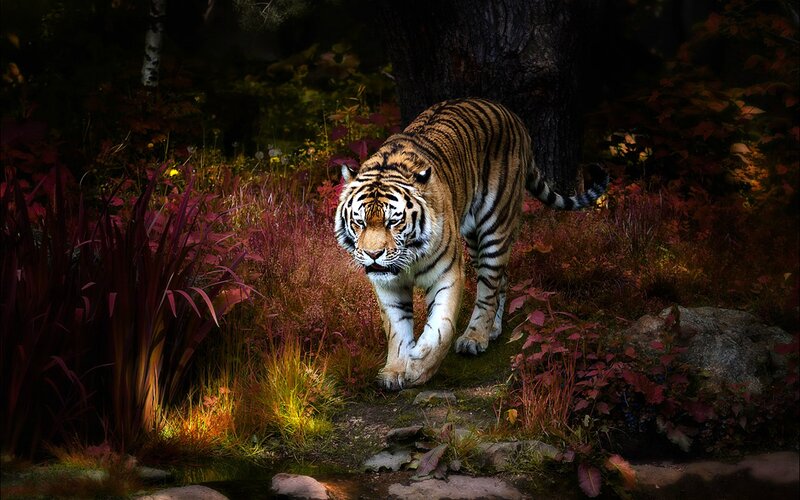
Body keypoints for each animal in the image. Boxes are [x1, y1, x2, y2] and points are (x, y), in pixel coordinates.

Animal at [334, 98, 608, 390]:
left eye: (393, 222)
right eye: (360, 222)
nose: (373, 254)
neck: (407, 261)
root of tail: (511, 115)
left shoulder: (447, 273)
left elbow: (441, 327)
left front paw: (419, 366)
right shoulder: (388, 286)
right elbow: (396, 329)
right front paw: (395, 370)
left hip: (494, 227)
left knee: (488, 288)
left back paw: (475, 338)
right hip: (475, 241)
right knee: (502, 279)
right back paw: (493, 329)